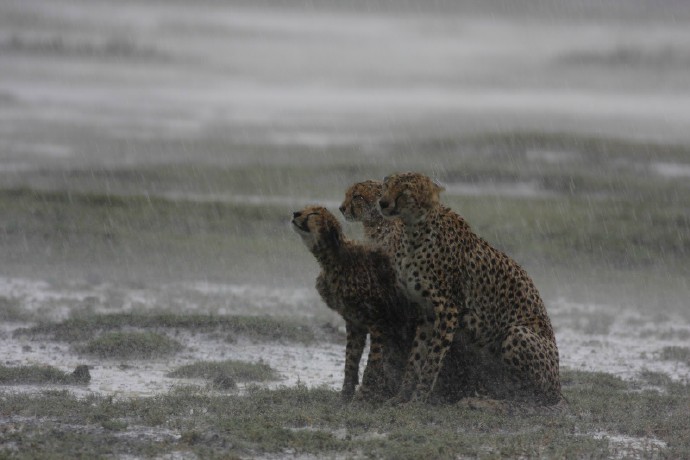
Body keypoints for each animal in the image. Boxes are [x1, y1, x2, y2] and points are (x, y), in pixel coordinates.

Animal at [288, 207, 414, 400]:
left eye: (314, 214)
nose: (295, 213)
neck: (333, 260)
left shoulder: (380, 322)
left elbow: (373, 362)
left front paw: (364, 395)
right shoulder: (355, 322)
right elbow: (351, 359)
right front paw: (345, 395)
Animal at [378, 172, 560, 406]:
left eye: (404, 191)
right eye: (386, 186)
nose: (382, 202)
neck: (413, 230)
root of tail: (559, 386)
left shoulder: (448, 310)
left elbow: (432, 360)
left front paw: (418, 400)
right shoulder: (427, 312)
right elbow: (416, 357)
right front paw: (401, 397)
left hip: (517, 333)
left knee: (536, 394)